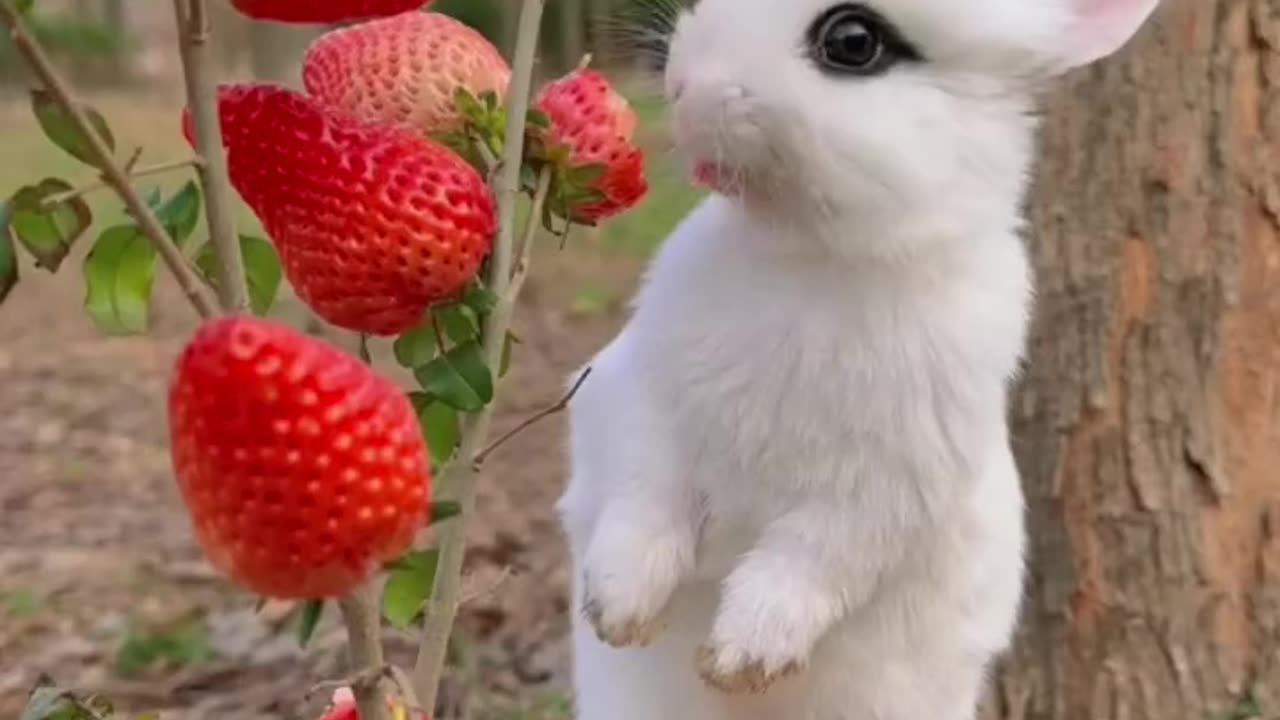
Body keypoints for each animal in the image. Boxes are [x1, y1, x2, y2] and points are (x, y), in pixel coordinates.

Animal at [555, 1, 1157, 717]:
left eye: (852, 41)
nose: (682, 81)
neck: (815, 260)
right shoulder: (638, 395)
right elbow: (644, 495)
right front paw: (617, 610)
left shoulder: (892, 487)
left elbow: (810, 562)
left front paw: (741, 657)